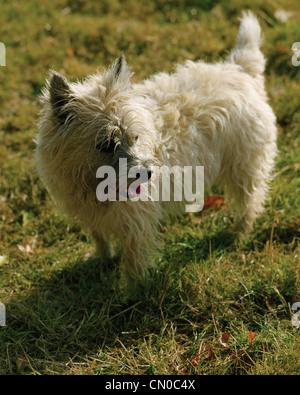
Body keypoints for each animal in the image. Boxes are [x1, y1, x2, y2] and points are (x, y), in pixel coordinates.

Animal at [35, 11, 276, 288]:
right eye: (106, 144)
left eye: (135, 136)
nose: (147, 174)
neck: (91, 186)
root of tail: (241, 70)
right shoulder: (91, 215)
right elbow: (100, 237)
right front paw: (101, 259)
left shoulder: (136, 223)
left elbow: (134, 258)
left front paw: (132, 291)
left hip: (245, 166)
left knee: (250, 201)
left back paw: (239, 233)